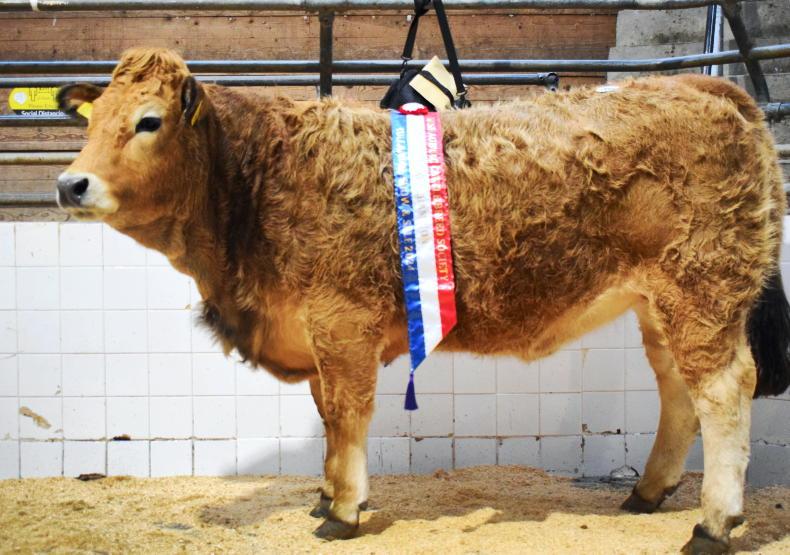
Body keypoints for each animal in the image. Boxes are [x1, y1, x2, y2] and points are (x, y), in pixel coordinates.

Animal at [56, 47, 789, 553]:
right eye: (92, 123)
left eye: (148, 122)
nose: (69, 184)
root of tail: (707, 85)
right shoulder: (315, 332)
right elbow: (327, 417)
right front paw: (327, 494)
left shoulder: (341, 320)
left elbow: (346, 414)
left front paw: (344, 510)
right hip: (661, 302)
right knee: (677, 391)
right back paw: (648, 492)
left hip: (704, 287)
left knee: (725, 390)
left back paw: (714, 523)